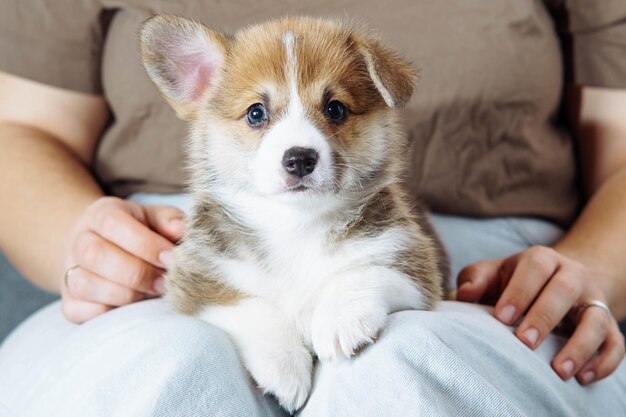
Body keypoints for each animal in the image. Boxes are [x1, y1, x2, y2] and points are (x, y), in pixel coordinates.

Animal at [141, 15, 444, 412]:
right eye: (256, 113)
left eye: (335, 109)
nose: (299, 158)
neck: (295, 224)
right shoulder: (196, 281)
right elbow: (250, 306)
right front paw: (283, 367)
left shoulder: (414, 264)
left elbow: (362, 273)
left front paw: (338, 320)